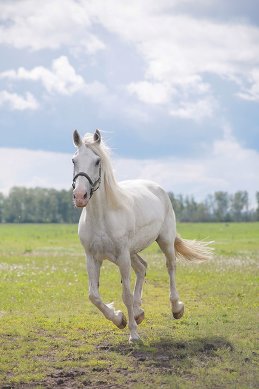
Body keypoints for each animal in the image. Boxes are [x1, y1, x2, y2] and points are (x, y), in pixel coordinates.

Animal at [72, 129, 213, 342]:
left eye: (97, 161)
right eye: (74, 160)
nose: (80, 196)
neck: (103, 216)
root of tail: (157, 188)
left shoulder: (122, 257)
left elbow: (126, 295)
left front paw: (133, 334)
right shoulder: (93, 257)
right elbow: (93, 296)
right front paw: (119, 319)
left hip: (164, 241)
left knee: (170, 266)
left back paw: (176, 308)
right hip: (131, 252)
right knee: (142, 268)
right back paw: (139, 312)